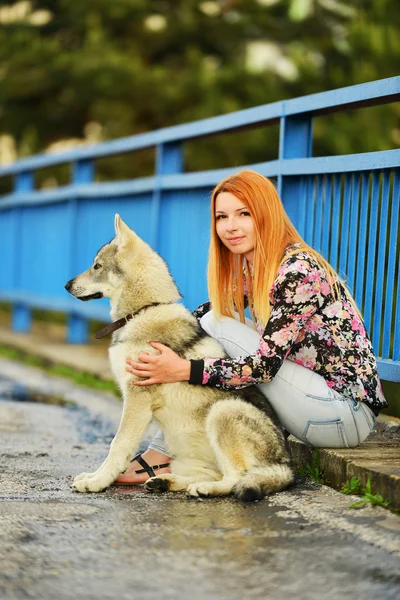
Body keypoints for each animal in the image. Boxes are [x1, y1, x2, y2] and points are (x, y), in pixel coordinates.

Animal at [64, 216, 292, 502]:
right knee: (210, 475)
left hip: (222, 412)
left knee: (235, 479)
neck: (144, 310)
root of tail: (286, 466)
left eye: (97, 266)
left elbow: (117, 445)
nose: (66, 285)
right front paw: (94, 477)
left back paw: (205, 489)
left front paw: (97, 482)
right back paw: (165, 481)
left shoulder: (136, 398)